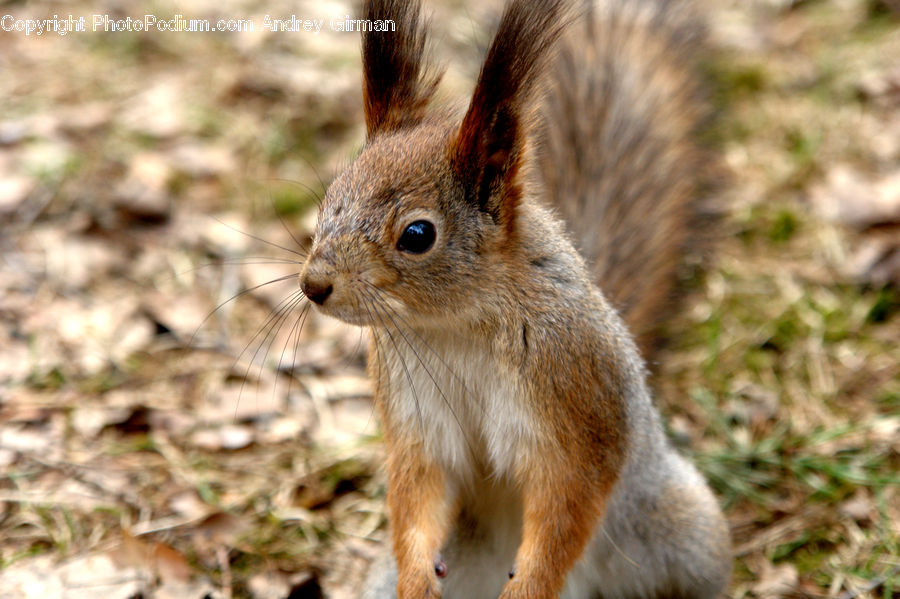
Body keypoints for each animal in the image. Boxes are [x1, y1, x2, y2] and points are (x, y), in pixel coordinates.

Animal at [297, 0, 732, 597]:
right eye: (328, 202)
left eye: (417, 235)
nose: (313, 285)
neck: (458, 326)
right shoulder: (417, 423)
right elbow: (417, 497)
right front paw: (417, 579)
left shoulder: (574, 403)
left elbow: (565, 511)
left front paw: (529, 585)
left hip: (680, 531)